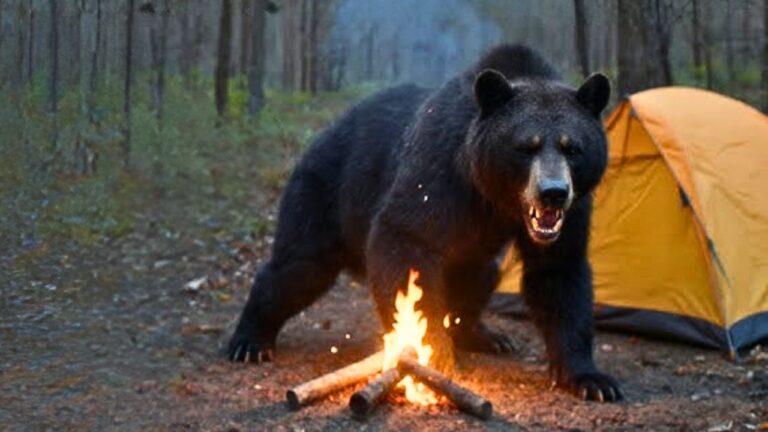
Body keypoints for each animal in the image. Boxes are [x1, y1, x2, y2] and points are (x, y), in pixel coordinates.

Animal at [227, 44, 622, 402]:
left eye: (573, 147)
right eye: (526, 146)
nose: (552, 192)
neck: (494, 196)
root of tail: (326, 132)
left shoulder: (574, 211)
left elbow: (559, 273)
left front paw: (592, 379)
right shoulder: (440, 172)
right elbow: (404, 242)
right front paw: (433, 353)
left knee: (483, 274)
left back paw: (487, 336)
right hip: (322, 190)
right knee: (299, 267)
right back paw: (249, 341)